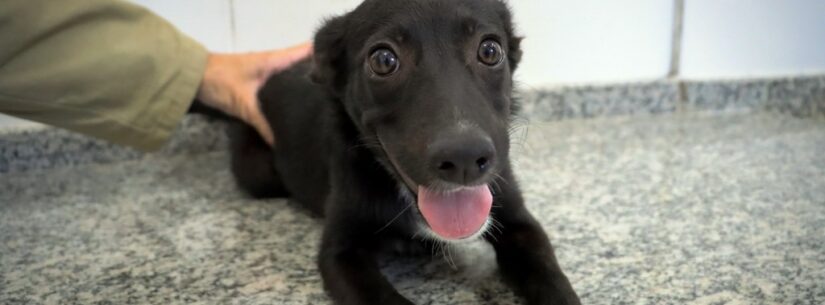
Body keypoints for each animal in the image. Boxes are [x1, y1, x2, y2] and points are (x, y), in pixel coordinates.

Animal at [225, 0, 580, 304]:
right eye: (383, 60)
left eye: (490, 50)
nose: (465, 158)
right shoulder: (340, 252)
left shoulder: (519, 222)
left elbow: (551, 275)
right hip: (259, 174)